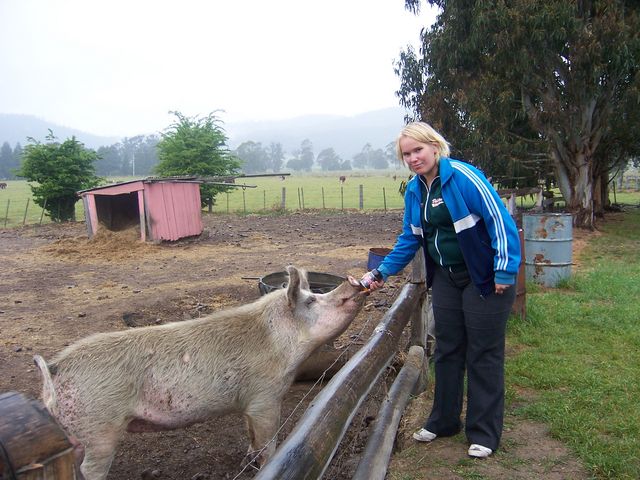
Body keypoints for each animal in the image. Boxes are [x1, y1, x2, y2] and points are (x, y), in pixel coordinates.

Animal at [33, 266, 364, 480]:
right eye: (311, 300)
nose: (353, 282)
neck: (279, 342)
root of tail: (54, 368)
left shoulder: (248, 403)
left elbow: (249, 433)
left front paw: (247, 457)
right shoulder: (265, 397)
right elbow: (268, 442)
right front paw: (265, 464)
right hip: (100, 428)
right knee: (91, 469)